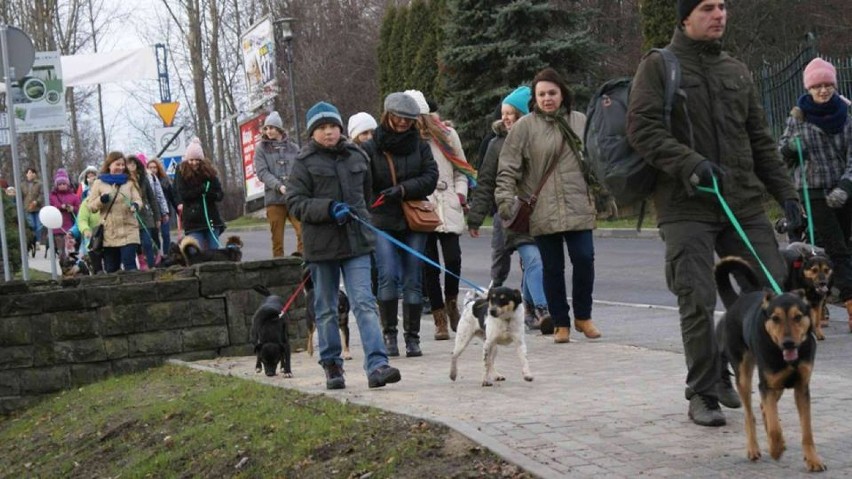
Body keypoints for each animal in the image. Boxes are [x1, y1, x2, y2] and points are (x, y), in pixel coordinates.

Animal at [712, 258, 824, 472]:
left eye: (798, 317)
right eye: (775, 318)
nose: (788, 343)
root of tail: (737, 301)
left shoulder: (801, 387)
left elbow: (807, 430)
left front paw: (813, 460)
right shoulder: (767, 386)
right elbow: (773, 427)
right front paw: (775, 449)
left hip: (775, 383)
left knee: (763, 408)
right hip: (745, 376)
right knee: (750, 415)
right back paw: (754, 449)